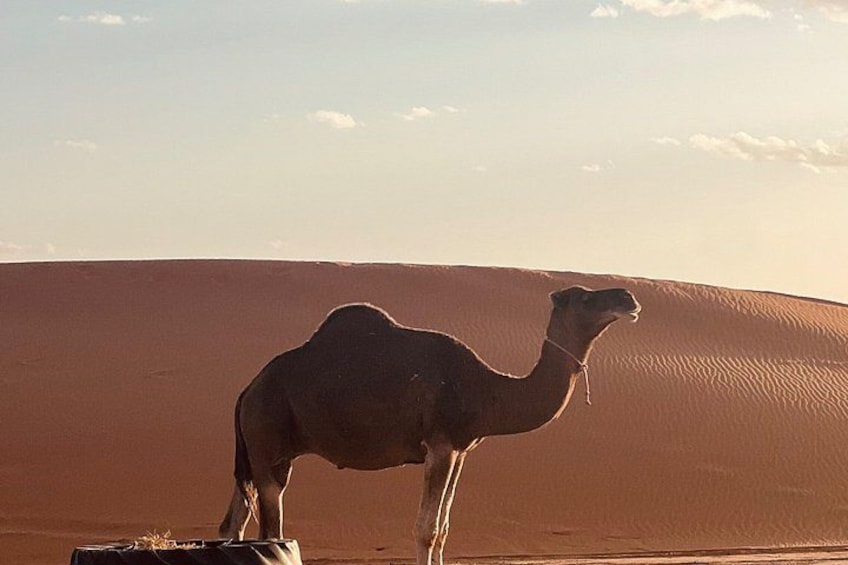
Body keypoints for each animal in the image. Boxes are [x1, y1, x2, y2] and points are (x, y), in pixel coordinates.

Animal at [218, 285, 640, 565]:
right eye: (585, 297)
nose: (628, 297)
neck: (489, 389)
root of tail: (248, 389)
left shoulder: (461, 450)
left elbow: (443, 529)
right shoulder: (440, 444)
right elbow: (426, 529)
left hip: (260, 450)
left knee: (235, 523)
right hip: (268, 440)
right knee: (271, 530)